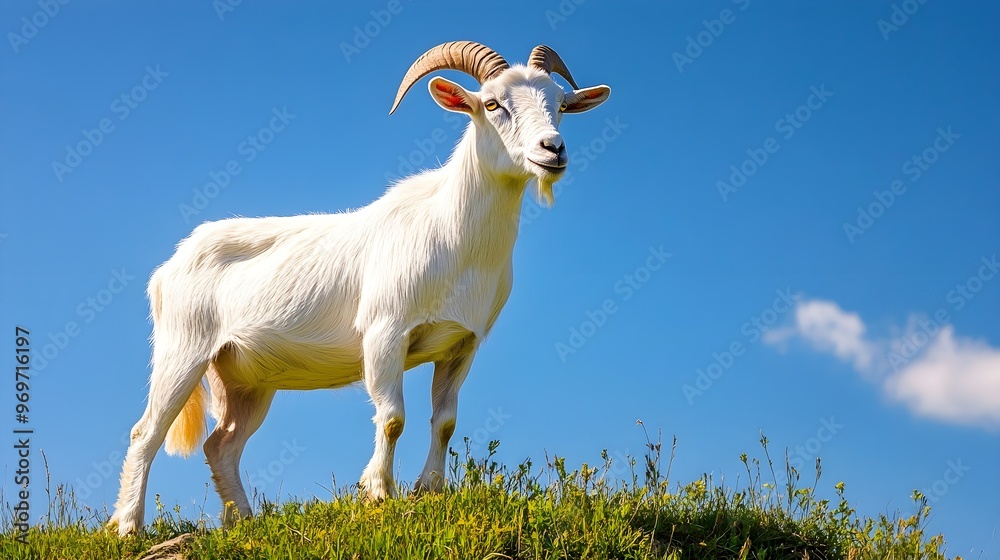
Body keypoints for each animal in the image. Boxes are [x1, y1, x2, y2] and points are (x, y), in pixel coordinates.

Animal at [109, 41, 610, 535]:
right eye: (491, 104)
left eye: (561, 105)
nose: (553, 149)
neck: (457, 239)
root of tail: (167, 268)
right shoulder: (385, 333)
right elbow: (392, 419)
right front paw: (379, 493)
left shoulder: (461, 345)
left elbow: (445, 422)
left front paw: (429, 491)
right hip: (183, 350)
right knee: (146, 433)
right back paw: (129, 527)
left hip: (245, 378)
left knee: (222, 445)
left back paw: (244, 523)